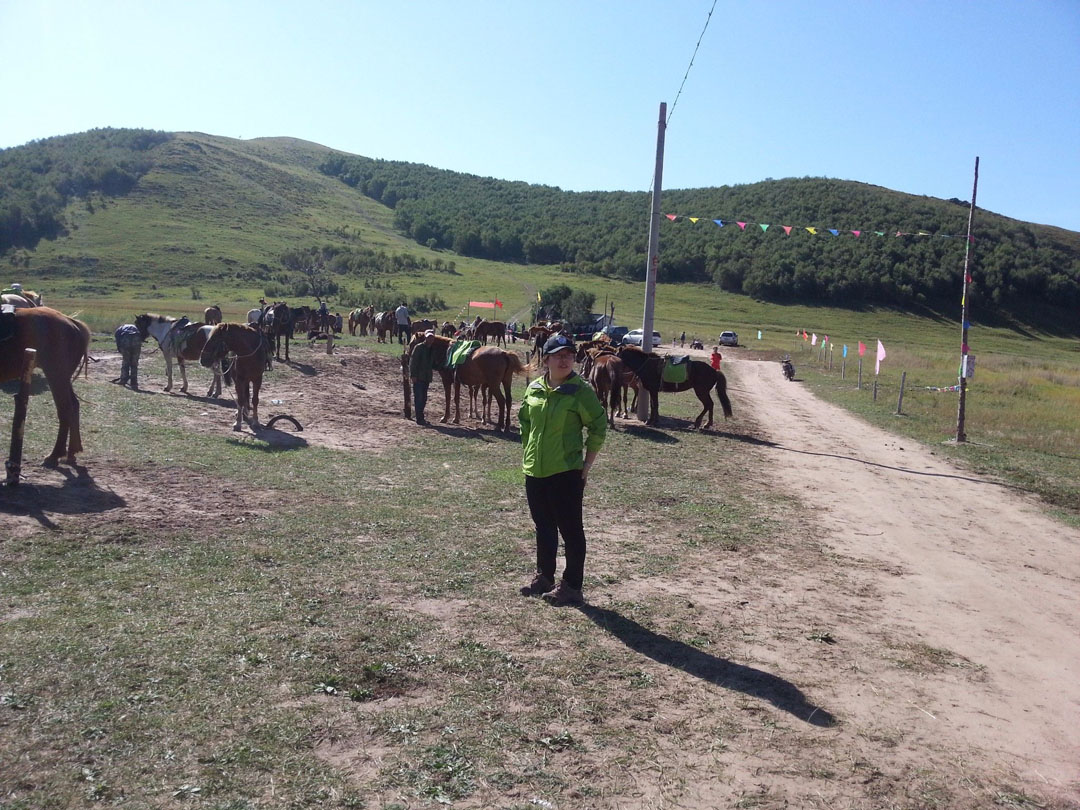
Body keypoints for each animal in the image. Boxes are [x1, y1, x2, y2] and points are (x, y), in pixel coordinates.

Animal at [0, 306, 89, 468]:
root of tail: (73, 323)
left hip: (56, 375)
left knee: (65, 409)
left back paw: (54, 455)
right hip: (63, 378)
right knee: (74, 405)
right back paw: (71, 453)